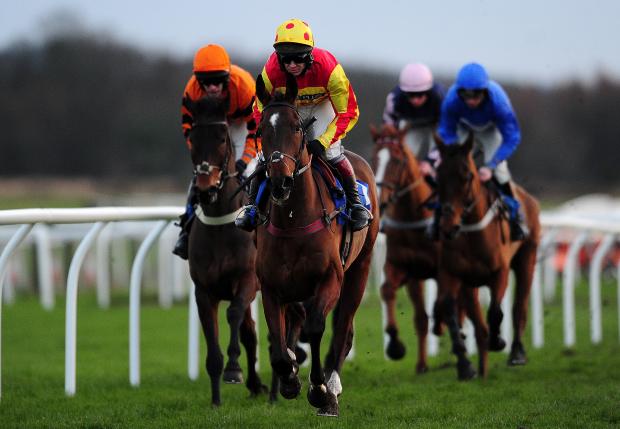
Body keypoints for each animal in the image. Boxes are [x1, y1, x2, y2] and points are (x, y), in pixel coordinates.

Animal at [188, 96, 268, 404]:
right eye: (192, 138)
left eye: (222, 138)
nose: (205, 189)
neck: (220, 226)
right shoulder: (203, 291)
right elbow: (213, 338)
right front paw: (215, 399)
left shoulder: (246, 280)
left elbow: (233, 314)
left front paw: (234, 369)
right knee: (250, 332)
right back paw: (257, 384)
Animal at [253, 72, 380, 414]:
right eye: (261, 130)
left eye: (297, 128)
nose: (280, 181)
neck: (294, 220)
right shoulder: (271, 286)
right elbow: (278, 341)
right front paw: (290, 380)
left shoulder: (330, 278)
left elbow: (315, 328)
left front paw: (319, 390)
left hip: (359, 270)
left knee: (343, 329)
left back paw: (332, 388)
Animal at [434, 133, 540, 378]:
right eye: (438, 176)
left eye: (467, 175)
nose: (447, 227)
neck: (472, 232)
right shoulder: (451, 273)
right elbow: (449, 307)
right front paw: (464, 363)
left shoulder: (499, 272)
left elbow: (495, 311)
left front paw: (498, 341)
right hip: (469, 283)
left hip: (527, 258)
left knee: (519, 306)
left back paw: (516, 353)